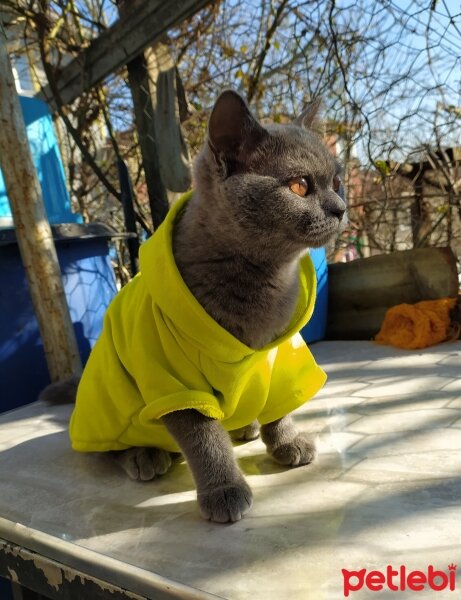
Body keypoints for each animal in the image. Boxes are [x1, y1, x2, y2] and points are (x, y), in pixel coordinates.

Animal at [42, 91, 344, 524]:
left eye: (337, 182)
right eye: (300, 185)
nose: (340, 207)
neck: (263, 284)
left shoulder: (281, 358)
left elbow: (281, 406)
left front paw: (287, 442)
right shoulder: (173, 381)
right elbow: (204, 440)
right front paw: (224, 490)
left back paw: (245, 426)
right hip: (109, 404)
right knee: (109, 447)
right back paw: (144, 456)